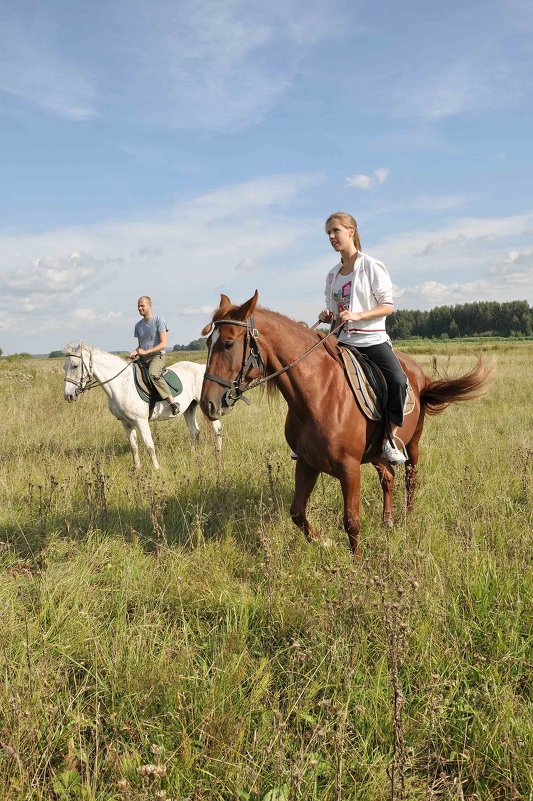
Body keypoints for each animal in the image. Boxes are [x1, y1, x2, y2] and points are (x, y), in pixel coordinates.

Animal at [63, 342, 221, 468]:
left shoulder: (141, 421)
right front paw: (137, 469)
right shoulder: (126, 423)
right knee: (195, 432)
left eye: (75, 366)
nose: (68, 396)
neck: (121, 384)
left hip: (206, 406)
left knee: (217, 429)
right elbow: (134, 446)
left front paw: (157, 469)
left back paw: (218, 453)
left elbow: (149, 445)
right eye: (65, 367)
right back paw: (195, 455)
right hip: (189, 408)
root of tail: (201, 367)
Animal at [200, 290, 494, 556]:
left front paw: (357, 565)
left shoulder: (349, 468)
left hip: (413, 441)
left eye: (228, 343)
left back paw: (406, 518)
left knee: (410, 478)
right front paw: (323, 542)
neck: (319, 392)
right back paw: (387, 521)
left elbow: (351, 521)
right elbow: (297, 512)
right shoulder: (307, 462)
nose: (207, 404)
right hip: (376, 452)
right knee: (388, 477)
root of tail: (420, 374)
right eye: (207, 345)